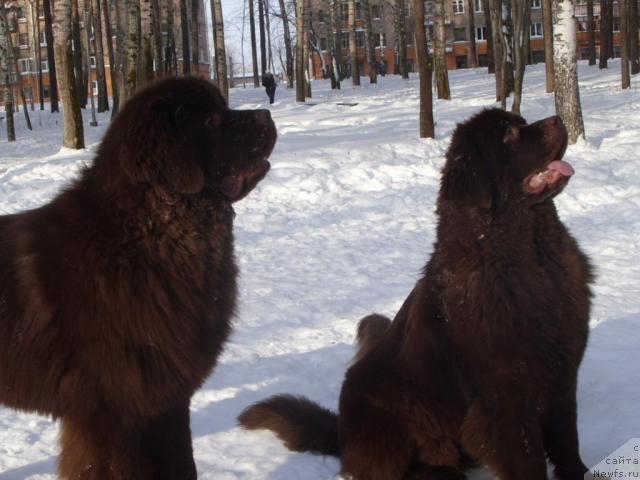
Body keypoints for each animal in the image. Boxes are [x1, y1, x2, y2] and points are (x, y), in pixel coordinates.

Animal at [241, 109, 596, 480]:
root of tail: (341, 436)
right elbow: (528, 459)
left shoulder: (562, 374)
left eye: (521, 121)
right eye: (509, 134)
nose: (557, 118)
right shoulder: (506, 396)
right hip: (384, 405)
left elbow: (567, 439)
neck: (530, 255)